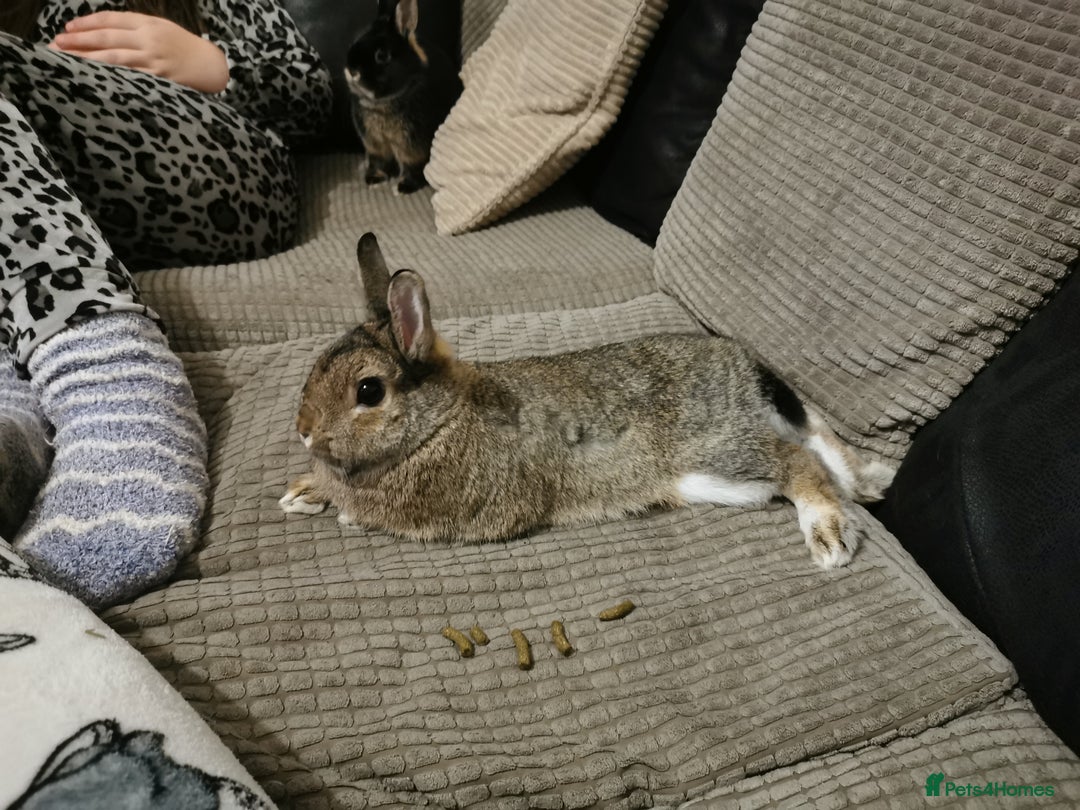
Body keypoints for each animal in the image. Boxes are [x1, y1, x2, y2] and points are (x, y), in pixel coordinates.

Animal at [281, 234, 896, 569]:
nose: (304, 430)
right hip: (712, 477)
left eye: (369, 391)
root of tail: (744, 367)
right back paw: (871, 480)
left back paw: (830, 536)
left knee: (798, 459)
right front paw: (301, 493)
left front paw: (334, 509)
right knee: (811, 434)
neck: (440, 420)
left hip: (718, 457)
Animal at [344, 0, 463, 194]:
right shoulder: (375, 144)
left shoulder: (413, 147)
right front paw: (374, 179)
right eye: (354, 41)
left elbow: (412, 165)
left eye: (382, 55)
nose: (352, 71)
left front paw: (405, 187)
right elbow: (378, 160)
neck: (381, 103)